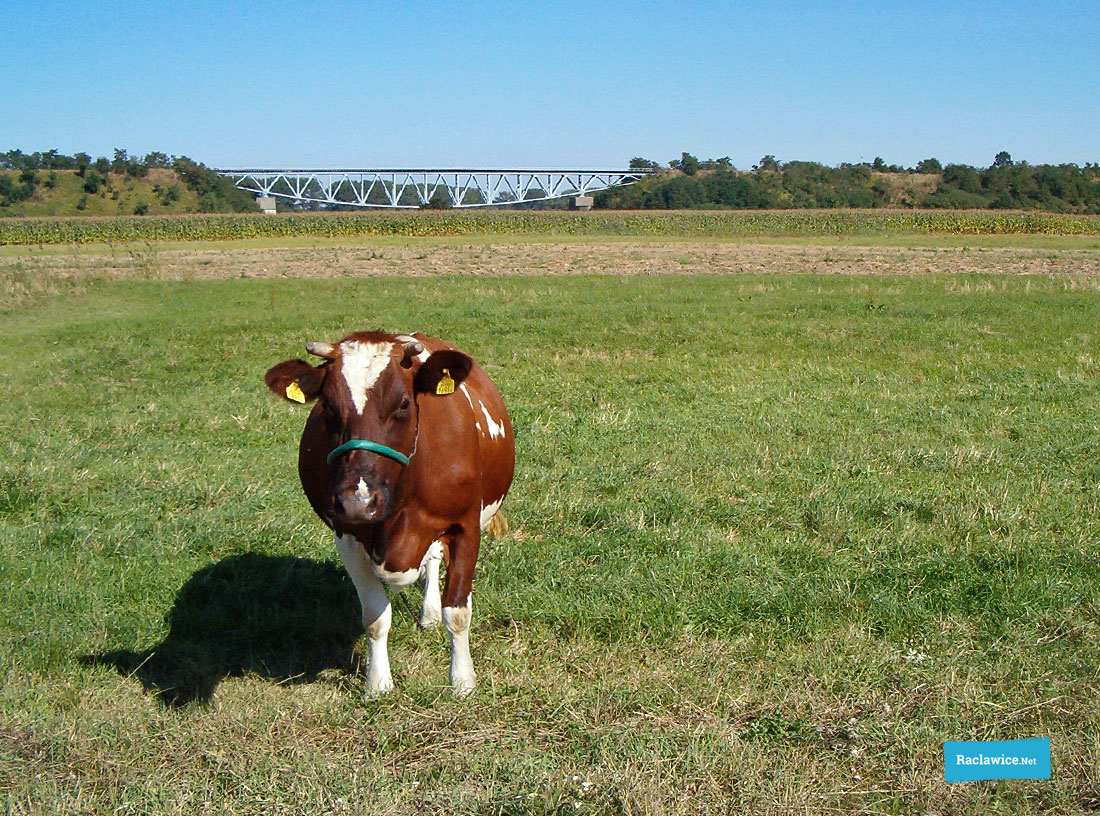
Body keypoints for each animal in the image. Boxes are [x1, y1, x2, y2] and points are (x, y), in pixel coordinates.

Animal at [264, 329, 512, 695]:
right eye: (327, 407)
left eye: (404, 404)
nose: (358, 501)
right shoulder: (347, 535)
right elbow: (375, 617)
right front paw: (378, 684)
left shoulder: (465, 526)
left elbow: (457, 612)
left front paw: (462, 681)